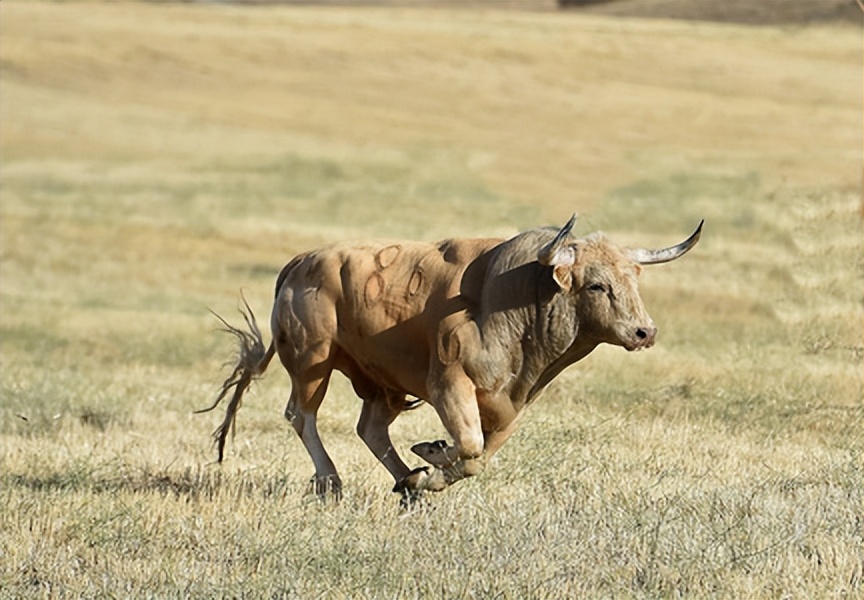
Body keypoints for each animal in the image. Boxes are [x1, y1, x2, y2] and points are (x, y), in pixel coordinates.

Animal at [201, 213, 704, 504]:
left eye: (633, 280)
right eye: (597, 284)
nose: (644, 332)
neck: (514, 299)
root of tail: (301, 262)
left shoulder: (511, 403)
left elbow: (478, 456)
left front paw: (428, 468)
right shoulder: (448, 384)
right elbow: (470, 445)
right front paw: (433, 455)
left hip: (380, 382)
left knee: (371, 428)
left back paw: (406, 481)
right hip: (313, 361)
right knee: (301, 415)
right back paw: (331, 480)